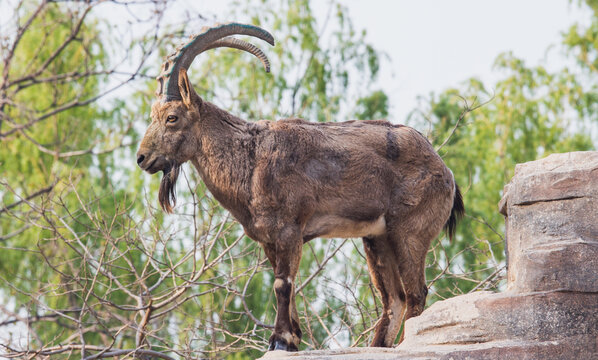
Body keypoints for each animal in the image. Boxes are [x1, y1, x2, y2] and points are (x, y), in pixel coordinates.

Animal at [138, 23, 466, 352]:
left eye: (171, 118)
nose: (142, 158)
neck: (249, 159)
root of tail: (446, 171)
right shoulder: (269, 239)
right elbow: (286, 284)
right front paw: (292, 338)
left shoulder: (289, 229)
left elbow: (283, 284)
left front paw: (280, 339)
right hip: (377, 238)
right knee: (394, 299)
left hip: (409, 232)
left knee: (416, 294)